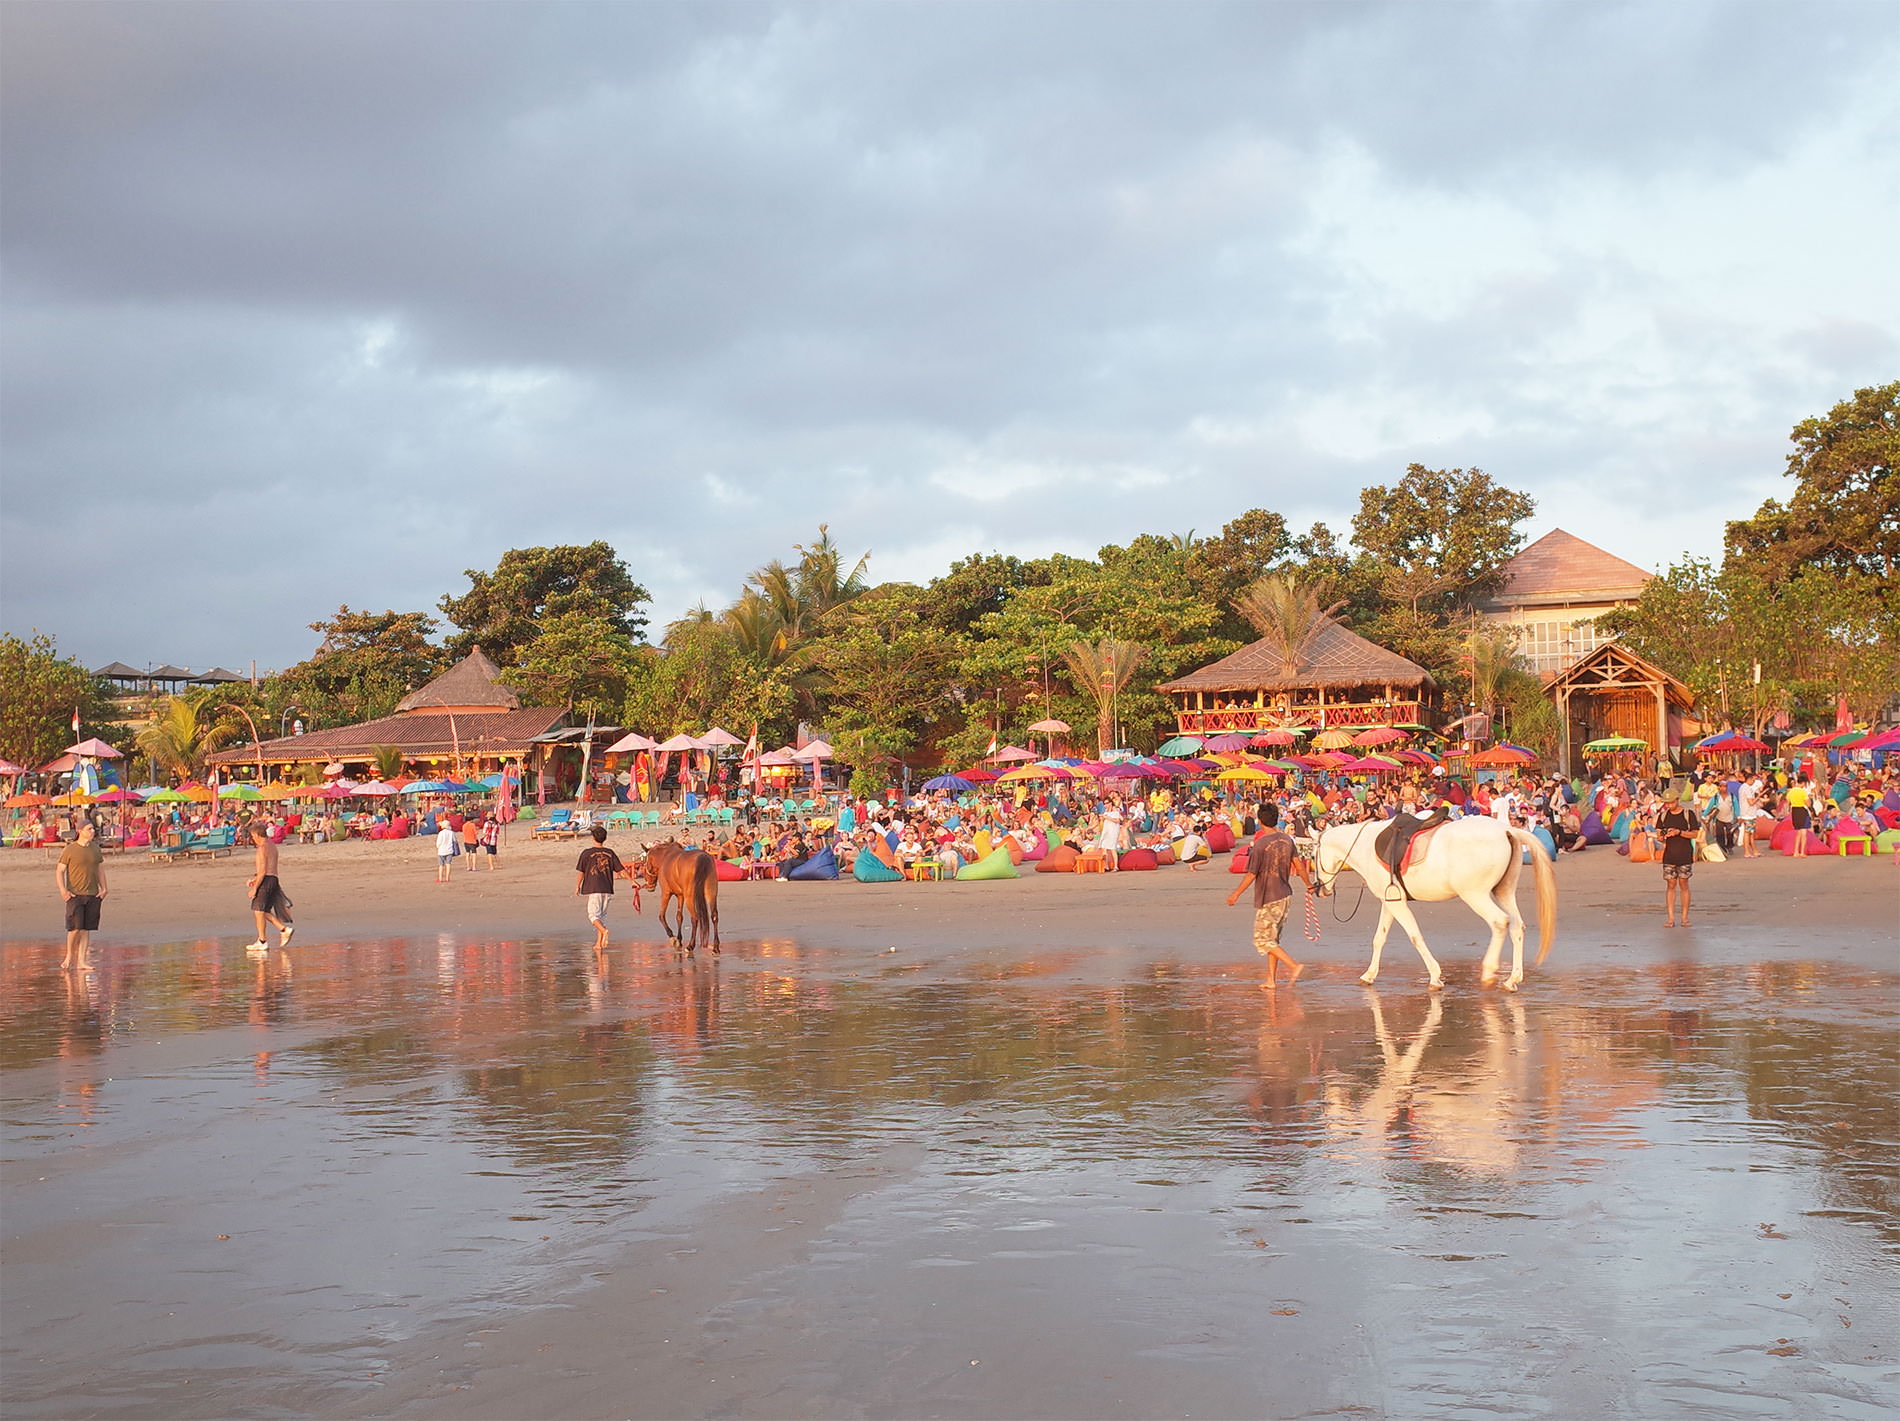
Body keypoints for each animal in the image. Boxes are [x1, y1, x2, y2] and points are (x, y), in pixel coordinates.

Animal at [1307, 816, 1558, 995]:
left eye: (1311, 855)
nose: (1319, 889)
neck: (1367, 846)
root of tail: (1507, 830)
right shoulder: (1390, 902)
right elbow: (1379, 938)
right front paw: (1369, 975)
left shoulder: (1397, 905)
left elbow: (1415, 936)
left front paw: (1436, 977)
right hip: (1504, 892)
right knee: (1517, 926)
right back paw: (1512, 979)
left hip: (1475, 895)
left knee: (1499, 922)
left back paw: (1488, 972)